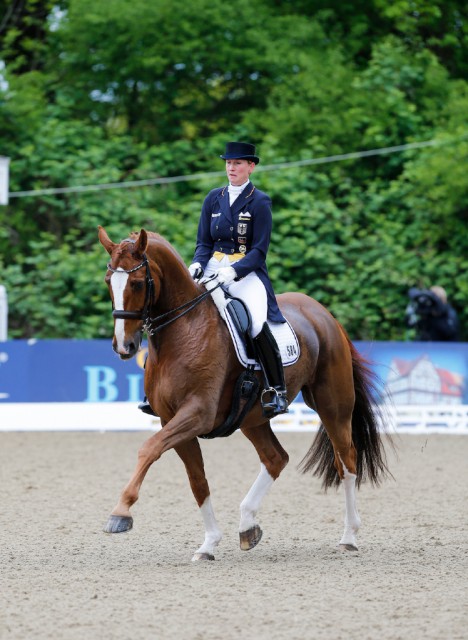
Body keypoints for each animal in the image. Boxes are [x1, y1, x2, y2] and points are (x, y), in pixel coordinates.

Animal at [98, 226, 388, 560]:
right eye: (108, 282)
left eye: (135, 282)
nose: (124, 346)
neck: (184, 330)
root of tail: (325, 315)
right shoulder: (172, 420)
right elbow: (197, 481)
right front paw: (209, 544)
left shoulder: (197, 413)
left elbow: (148, 449)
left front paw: (120, 513)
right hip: (252, 417)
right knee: (276, 458)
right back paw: (248, 526)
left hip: (333, 405)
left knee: (347, 461)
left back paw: (349, 536)